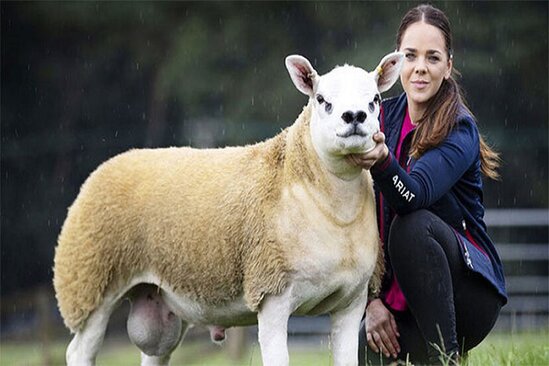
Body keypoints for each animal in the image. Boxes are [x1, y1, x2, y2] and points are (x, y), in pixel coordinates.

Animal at [52, 52, 402, 366]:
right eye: (321, 99)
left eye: (375, 99)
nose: (354, 116)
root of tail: (110, 163)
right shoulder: (271, 294)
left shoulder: (351, 302)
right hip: (90, 283)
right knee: (79, 351)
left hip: (157, 302)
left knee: (153, 354)